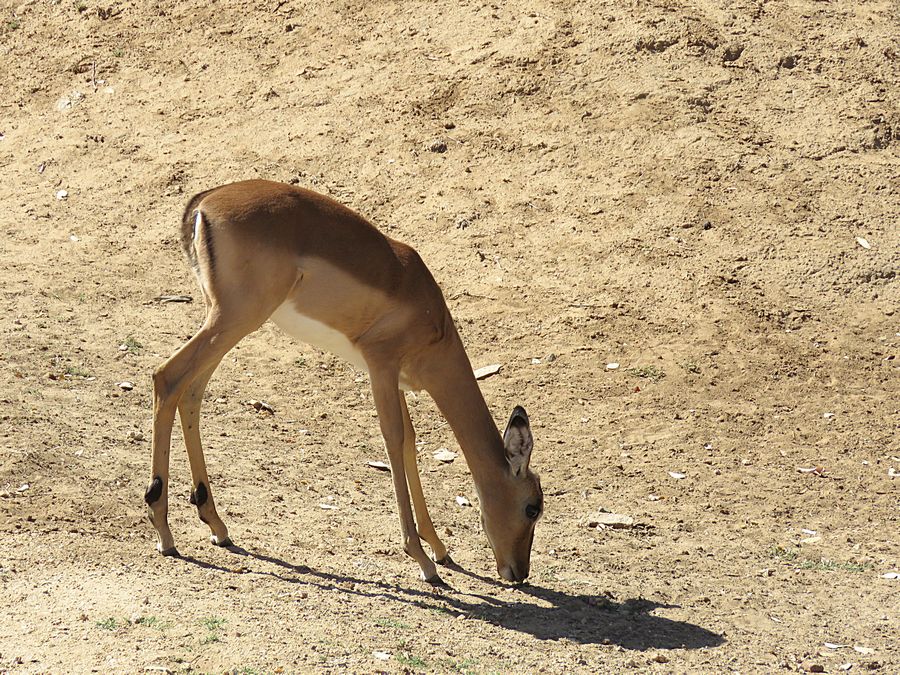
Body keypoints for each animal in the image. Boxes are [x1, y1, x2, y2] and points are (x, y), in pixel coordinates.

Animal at [145, 180, 543, 583]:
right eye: (532, 507)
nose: (518, 572)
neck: (433, 320)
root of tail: (204, 202)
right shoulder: (381, 365)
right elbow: (393, 440)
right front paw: (422, 560)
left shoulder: (395, 380)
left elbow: (410, 443)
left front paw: (439, 548)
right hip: (235, 318)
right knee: (167, 377)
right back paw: (164, 531)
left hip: (226, 323)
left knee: (191, 393)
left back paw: (217, 525)